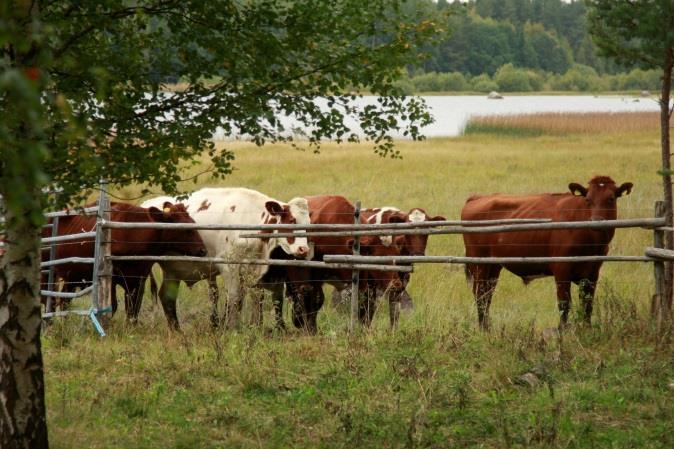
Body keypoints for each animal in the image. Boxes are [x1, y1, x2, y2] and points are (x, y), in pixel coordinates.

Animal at [42, 201, 205, 320]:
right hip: (46, 272)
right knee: (48, 301)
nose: (203, 250)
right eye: (186, 229)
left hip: (70, 276)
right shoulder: (111, 277)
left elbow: (133, 307)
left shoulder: (139, 278)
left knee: (63, 301)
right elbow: (112, 306)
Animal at [460, 175, 632, 328]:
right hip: (479, 264)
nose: (596, 221)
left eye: (611, 199)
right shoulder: (561, 269)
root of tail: (477, 198)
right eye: (588, 199)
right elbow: (564, 304)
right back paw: (483, 329)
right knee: (480, 295)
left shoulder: (593, 273)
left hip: (494, 266)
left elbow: (587, 305)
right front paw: (563, 334)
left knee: (487, 296)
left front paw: (586, 330)